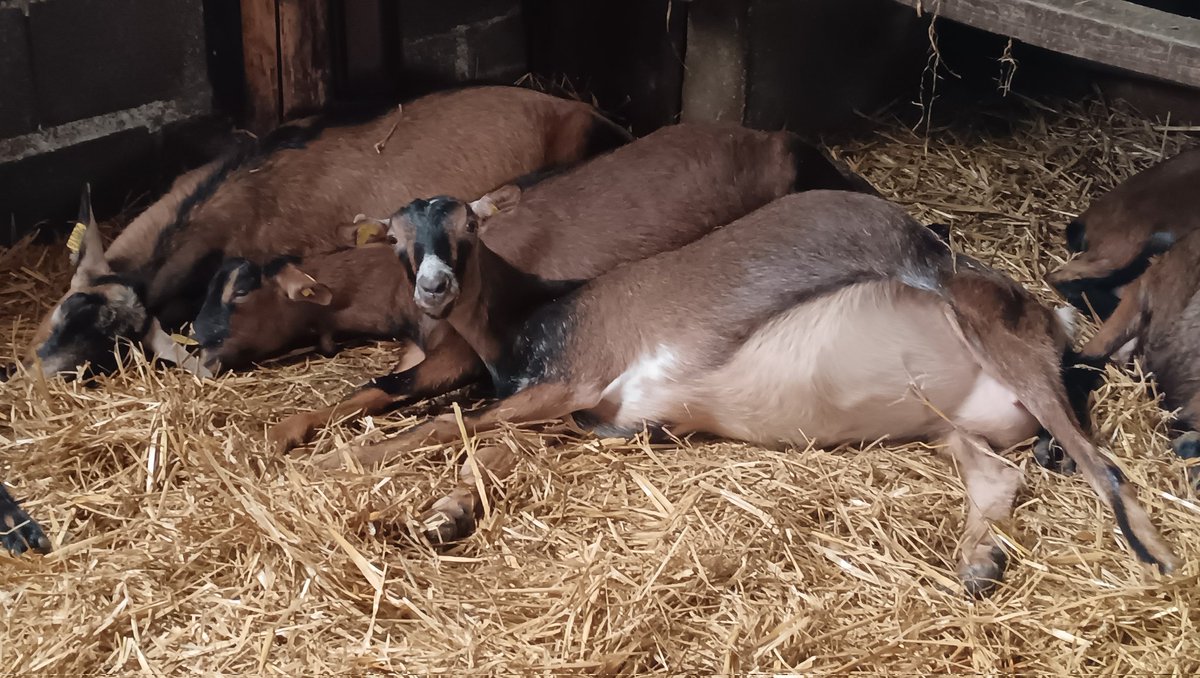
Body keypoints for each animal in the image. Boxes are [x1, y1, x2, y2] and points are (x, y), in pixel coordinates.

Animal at [262, 122, 879, 452]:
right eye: (395, 239)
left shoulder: (476, 358)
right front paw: (285, 431)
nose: (435, 288)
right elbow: (382, 384)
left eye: (469, 228)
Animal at [317, 189, 1179, 597]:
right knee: (998, 473)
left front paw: (346, 464)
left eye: (467, 230)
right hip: (953, 420)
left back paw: (1157, 553)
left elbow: (454, 424)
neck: (535, 313)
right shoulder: (597, 416)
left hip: (996, 336)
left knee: (1108, 469)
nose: (433, 289)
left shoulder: (574, 378)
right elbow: (491, 439)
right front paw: (444, 513)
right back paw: (980, 564)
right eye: (398, 242)